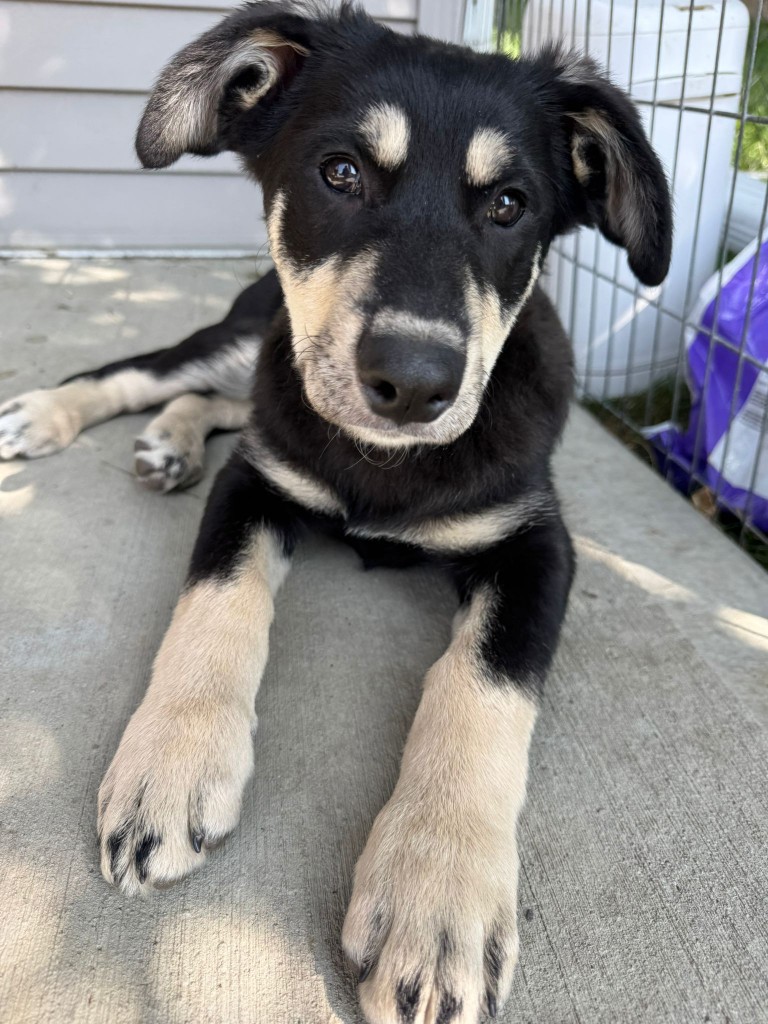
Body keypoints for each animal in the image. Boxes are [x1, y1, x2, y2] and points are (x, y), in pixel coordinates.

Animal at [0, 3, 672, 1021]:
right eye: (341, 172)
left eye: (509, 205)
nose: (415, 384)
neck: (385, 465)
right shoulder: (258, 481)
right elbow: (217, 602)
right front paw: (171, 766)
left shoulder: (535, 542)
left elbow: (481, 685)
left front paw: (436, 899)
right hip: (249, 331)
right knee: (148, 372)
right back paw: (52, 413)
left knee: (214, 400)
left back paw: (170, 443)